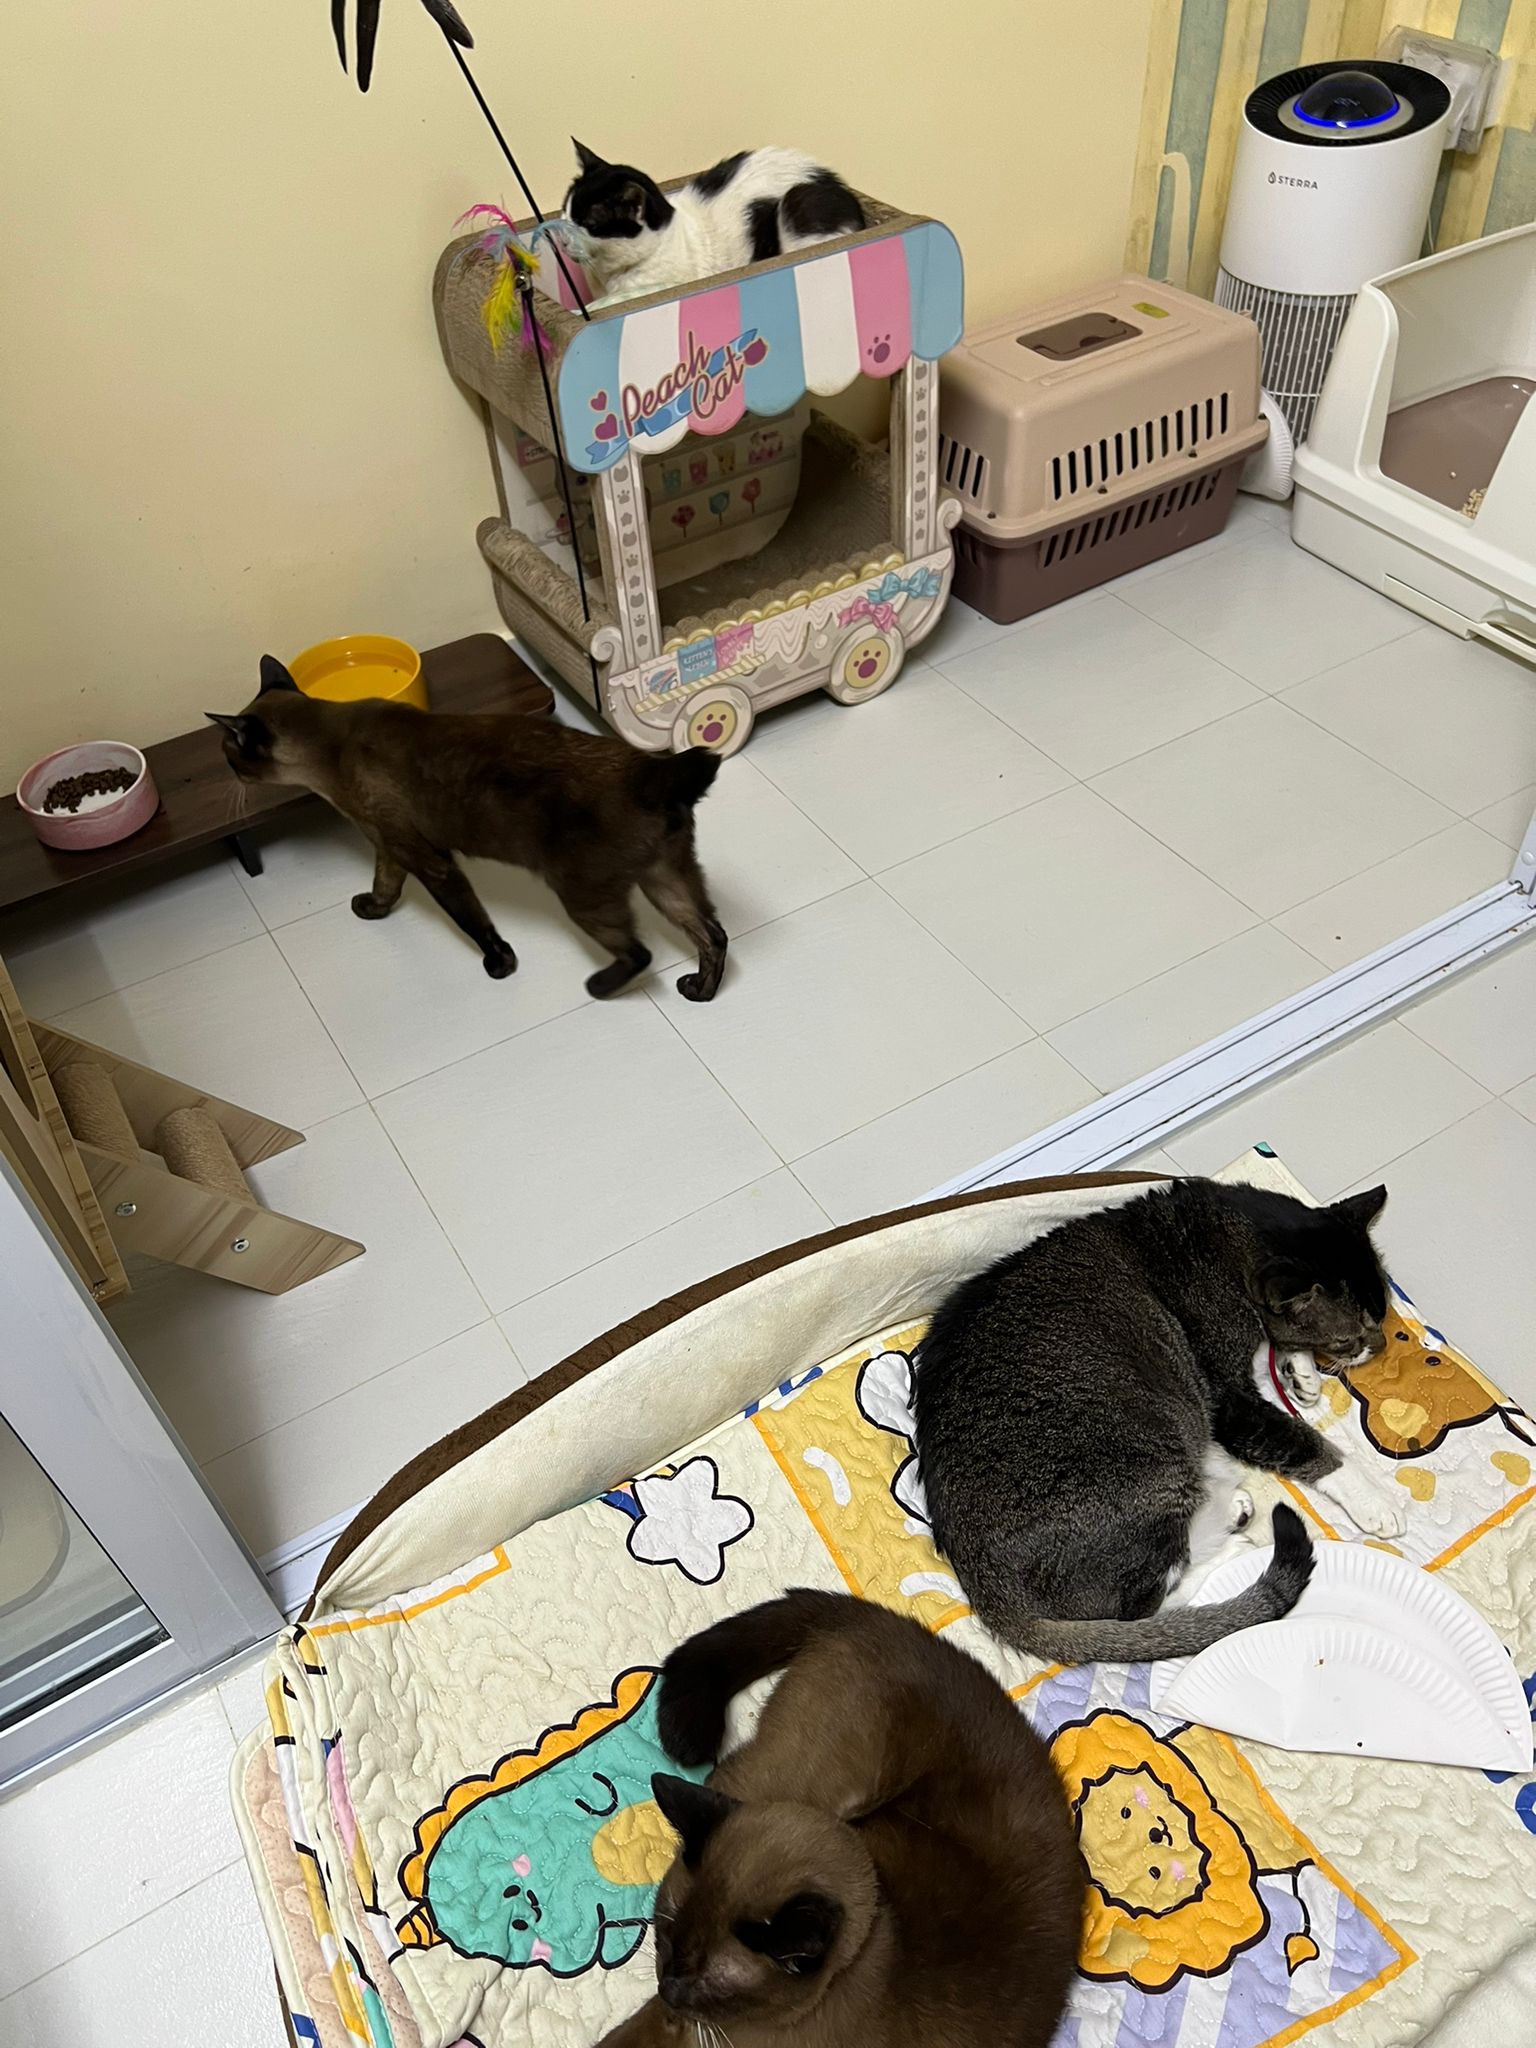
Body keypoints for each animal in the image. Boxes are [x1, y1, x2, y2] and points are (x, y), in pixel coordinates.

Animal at [207, 657, 728, 999]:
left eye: (229, 754)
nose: (228, 773)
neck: (330, 746)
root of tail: (655, 772)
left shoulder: (429, 861)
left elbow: (474, 923)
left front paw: (499, 965)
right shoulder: (390, 847)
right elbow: (384, 886)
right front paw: (371, 910)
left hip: (583, 895)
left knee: (640, 953)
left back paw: (598, 986)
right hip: (664, 880)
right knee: (713, 934)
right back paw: (698, 990)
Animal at [912, 1177, 1408, 1665]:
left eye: (1382, 1313)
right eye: (1348, 1336)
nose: (1381, 1346)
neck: (1215, 1234)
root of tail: (985, 1588)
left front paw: (1300, 1372)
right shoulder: (1230, 1405)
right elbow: (1314, 1448)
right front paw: (1376, 1501)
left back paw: (1234, 1510)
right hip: (1157, 1466)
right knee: (1137, 1611)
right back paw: (1230, 1550)